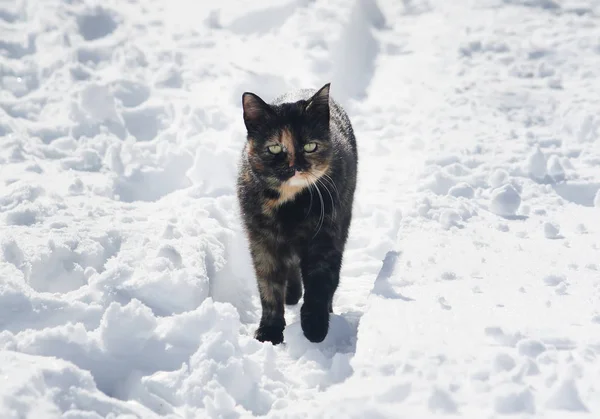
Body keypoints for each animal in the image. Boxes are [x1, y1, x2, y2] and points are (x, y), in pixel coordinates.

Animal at [234, 83, 356, 344]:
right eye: (274, 148)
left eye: (310, 146)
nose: (296, 166)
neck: (289, 207)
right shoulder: (262, 241)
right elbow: (268, 288)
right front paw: (269, 331)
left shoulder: (325, 239)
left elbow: (320, 283)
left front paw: (315, 327)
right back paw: (291, 294)